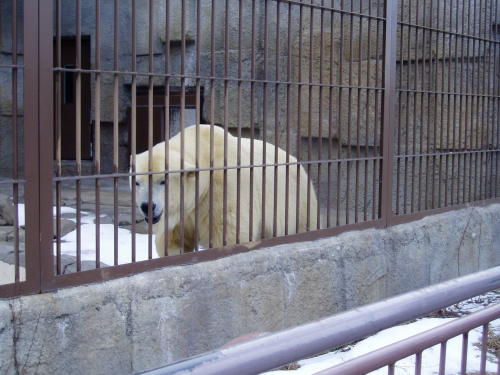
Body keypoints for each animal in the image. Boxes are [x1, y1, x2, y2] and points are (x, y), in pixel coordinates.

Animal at [133, 125, 318, 258]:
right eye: (137, 182)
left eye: (162, 181)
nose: (147, 206)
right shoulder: (182, 213)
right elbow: (174, 240)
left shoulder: (223, 187)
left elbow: (229, 234)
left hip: (297, 199)